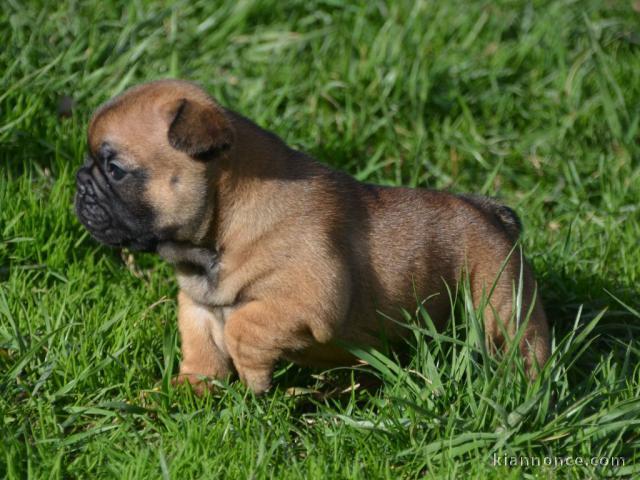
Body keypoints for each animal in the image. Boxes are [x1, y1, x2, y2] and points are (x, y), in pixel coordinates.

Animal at [72, 79, 548, 394]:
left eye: (114, 168)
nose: (79, 182)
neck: (217, 236)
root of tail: (492, 213)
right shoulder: (198, 305)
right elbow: (202, 346)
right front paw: (191, 388)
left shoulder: (307, 297)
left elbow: (244, 323)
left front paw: (253, 377)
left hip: (504, 304)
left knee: (524, 346)